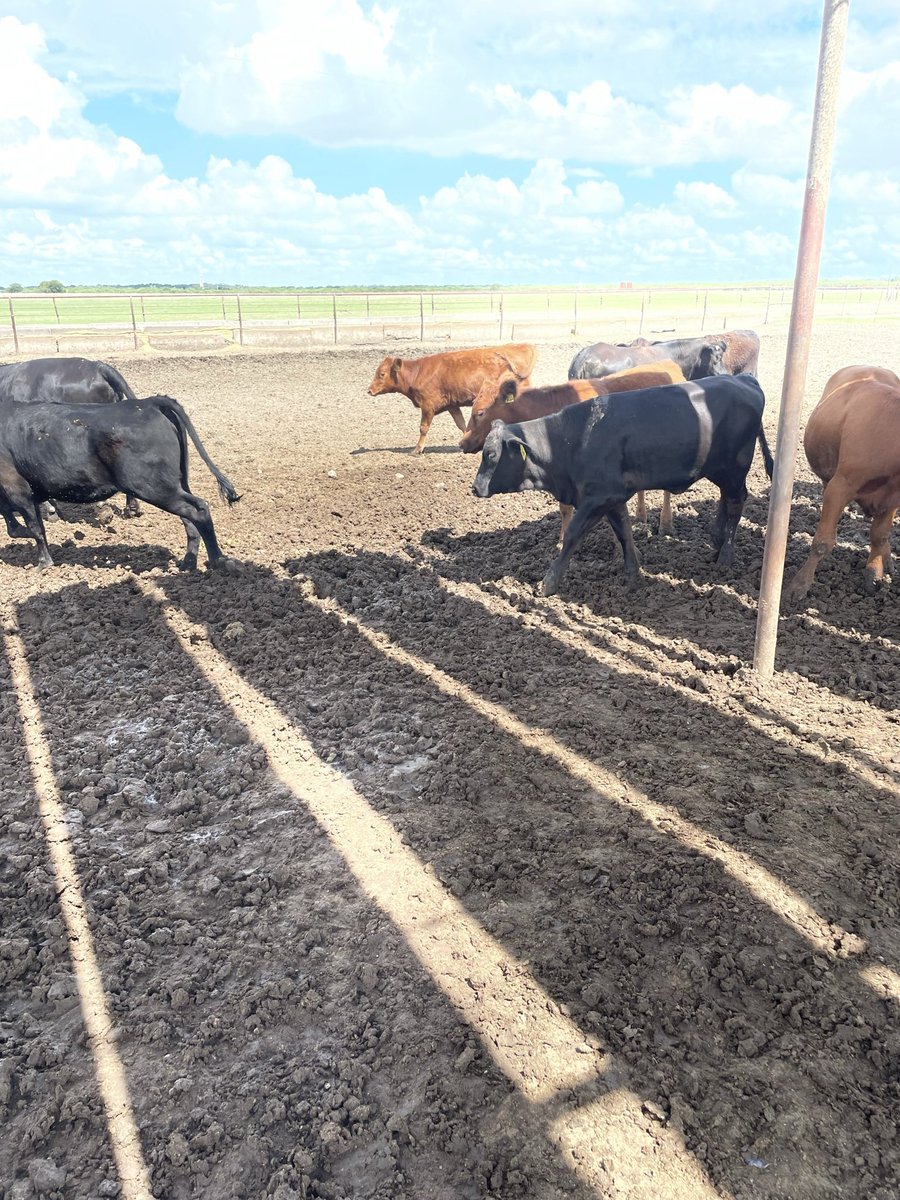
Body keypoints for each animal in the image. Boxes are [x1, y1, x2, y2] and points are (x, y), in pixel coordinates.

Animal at [0, 396, 239, 570]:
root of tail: (147, 403)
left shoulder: (17, 489)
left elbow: (34, 528)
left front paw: (43, 563)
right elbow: (18, 526)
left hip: (154, 486)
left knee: (198, 509)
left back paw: (218, 561)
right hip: (173, 485)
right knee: (189, 518)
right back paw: (188, 563)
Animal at [367, 343, 536, 453]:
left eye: (382, 374)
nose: (369, 390)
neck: (417, 373)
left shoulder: (427, 406)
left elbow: (423, 428)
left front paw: (417, 449)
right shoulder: (452, 406)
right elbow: (461, 424)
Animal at [472, 374, 772, 597]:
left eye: (492, 455)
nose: (475, 488)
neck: (570, 440)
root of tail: (743, 379)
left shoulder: (596, 498)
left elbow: (572, 536)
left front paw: (548, 583)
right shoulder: (612, 499)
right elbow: (624, 533)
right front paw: (632, 575)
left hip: (734, 470)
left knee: (736, 503)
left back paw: (726, 555)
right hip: (721, 472)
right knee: (725, 500)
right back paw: (716, 540)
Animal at [784, 365, 900, 604]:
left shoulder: (892, 499)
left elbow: (880, 535)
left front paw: (874, 572)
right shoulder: (839, 486)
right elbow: (822, 542)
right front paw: (799, 586)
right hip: (828, 479)